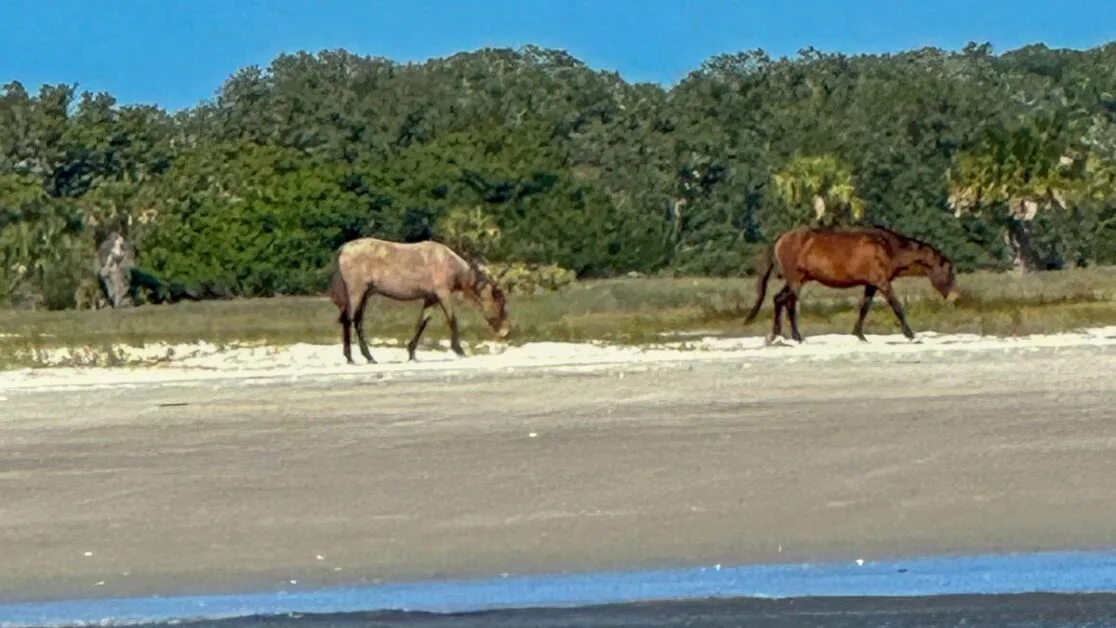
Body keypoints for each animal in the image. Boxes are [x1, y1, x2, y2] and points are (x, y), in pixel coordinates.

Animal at [328, 237, 510, 364]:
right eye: (501, 301)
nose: (506, 332)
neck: (448, 262)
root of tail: (344, 248)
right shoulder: (443, 294)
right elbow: (452, 319)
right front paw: (459, 350)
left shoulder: (431, 298)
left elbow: (422, 322)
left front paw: (411, 353)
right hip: (357, 292)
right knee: (352, 320)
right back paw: (362, 357)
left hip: (363, 294)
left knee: (351, 320)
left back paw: (356, 357)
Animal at [742, 225, 961, 344]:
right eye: (950, 272)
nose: (955, 297)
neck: (888, 248)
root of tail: (781, 238)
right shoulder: (882, 282)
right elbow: (897, 307)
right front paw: (911, 334)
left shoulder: (871, 284)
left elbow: (864, 307)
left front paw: (859, 334)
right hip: (795, 280)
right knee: (786, 302)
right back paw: (792, 336)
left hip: (797, 280)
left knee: (779, 300)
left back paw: (779, 335)